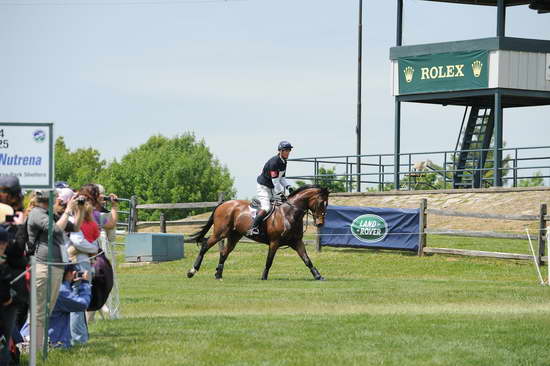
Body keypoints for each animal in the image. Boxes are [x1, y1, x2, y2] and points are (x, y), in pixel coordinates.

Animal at [188, 184, 330, 282]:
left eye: (327, 204)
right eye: (321, 203)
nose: (320, 223)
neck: (289, 214)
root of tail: (222, 204)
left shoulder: (297, 242)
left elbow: (307, 260)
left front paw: (318, 276)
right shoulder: (274, 242)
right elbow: (269, 260)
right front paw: (264, 276)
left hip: (234, 236)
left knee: (224, 253)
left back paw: (218, 275)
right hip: (220, 233)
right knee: (205, 246)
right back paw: (192, 271)